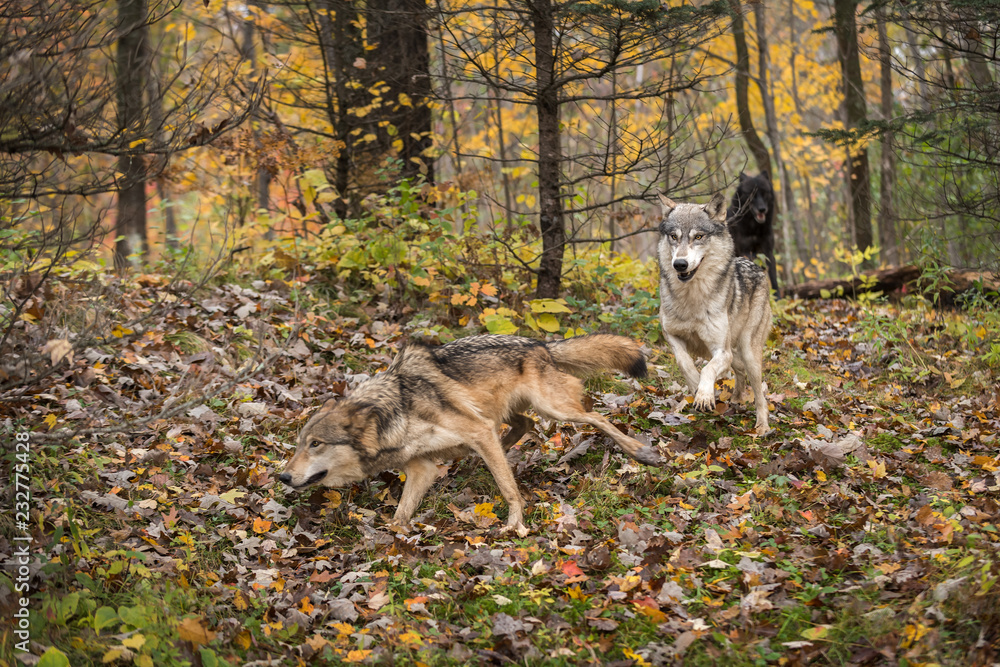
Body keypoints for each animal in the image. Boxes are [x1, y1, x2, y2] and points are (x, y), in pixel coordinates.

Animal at [278, 334, 662, 536]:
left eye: (315, 444)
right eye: (298, 445)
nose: (282, 476)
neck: (397, 411)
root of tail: (541, 344)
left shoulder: (476, 430)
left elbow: (508, 489)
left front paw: (515, 525)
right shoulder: (421, 468)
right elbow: (401, 513)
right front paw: (393, 536)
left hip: (554, 409)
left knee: (595, 417)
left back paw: (641, 452)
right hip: (507, 413)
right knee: (524, 426)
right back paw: (474, 464)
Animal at [657, 192, 772, 435]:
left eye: (698, 236)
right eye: (673, 236)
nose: (680, 264)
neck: (692, 299)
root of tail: (756, 267)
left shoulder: (721, 351)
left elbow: (707, 370)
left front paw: (704, 395)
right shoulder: (670, 335)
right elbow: (685, 363)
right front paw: (696, 388)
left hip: (748, 350)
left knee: (759, 394)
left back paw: (762, 426)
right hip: (734, 352)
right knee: (738, 371)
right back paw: (736, 398)